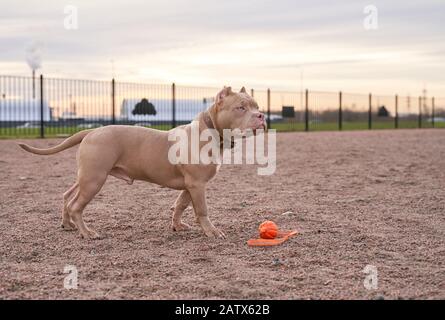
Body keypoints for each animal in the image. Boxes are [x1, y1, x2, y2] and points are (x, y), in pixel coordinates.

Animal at [18, 86, 264, 239]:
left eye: (256, 106)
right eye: (241, 107)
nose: (261, 116)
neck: (210, 130)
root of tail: (92, 131)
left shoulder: (191, 185)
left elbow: (180, 205)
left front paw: (176, 225)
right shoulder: (197, 185)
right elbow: (202, 210)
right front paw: (211, 231)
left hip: (86, 177)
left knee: (67, 196)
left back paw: (68, 224)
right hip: (94, 180)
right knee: (76, 206)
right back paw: (87, 233)